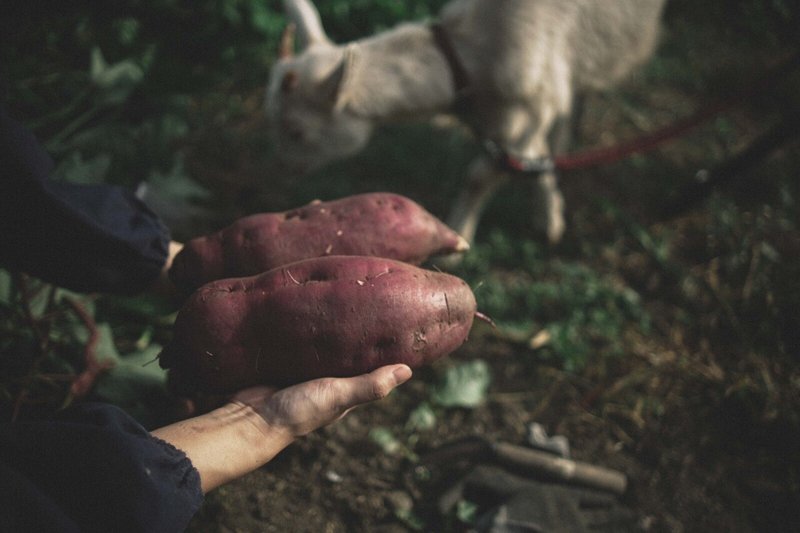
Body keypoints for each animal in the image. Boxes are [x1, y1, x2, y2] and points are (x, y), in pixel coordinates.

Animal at [266, 0, 664, 244]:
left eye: (297, 131)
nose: (280, 171)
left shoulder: (533, 105)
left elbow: (481, 175)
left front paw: (459, 235)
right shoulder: (521, 114)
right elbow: (534, 159)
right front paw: (550, 215)